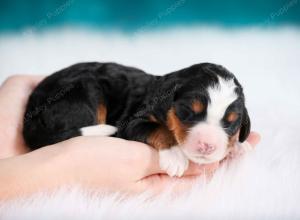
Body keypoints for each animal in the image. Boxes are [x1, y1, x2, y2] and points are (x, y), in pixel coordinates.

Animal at [22, 62, 251, 177]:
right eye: (187, 111)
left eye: (230, 122)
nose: (207, 146)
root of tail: (29, 114)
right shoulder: (132, 122)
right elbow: (159, 129)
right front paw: (175, 156)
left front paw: (239, 146)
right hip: (85, 91)